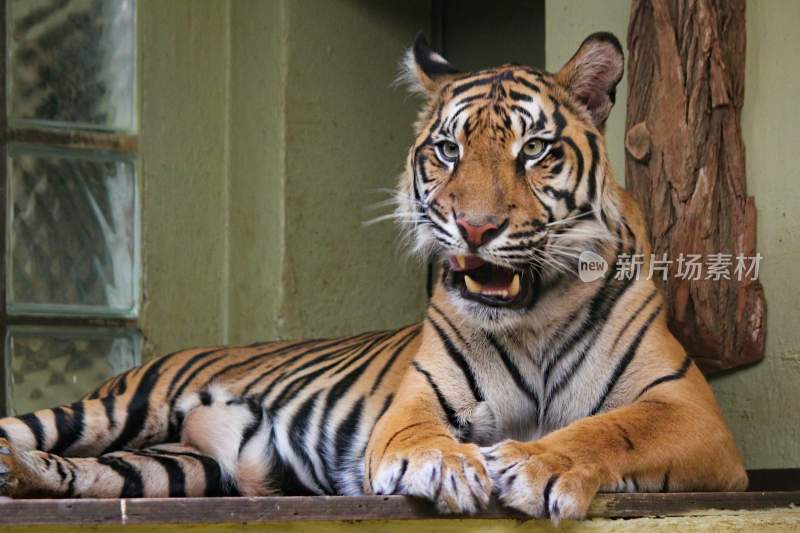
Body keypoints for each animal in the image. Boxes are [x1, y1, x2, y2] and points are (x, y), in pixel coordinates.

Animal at [0, 32, 748, 520]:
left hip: (176, 465)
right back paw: (15, 461)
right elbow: (422, 435)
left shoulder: (691, 411)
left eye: (535, 150)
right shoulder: (416, 402)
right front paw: (447, 464)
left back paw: (26, 477)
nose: (476, 227)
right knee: (33, 427)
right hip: (121, 406)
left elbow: (610, 429)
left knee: (96, 474)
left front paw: (538, 463)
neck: (531, 317)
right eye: (447, 149)